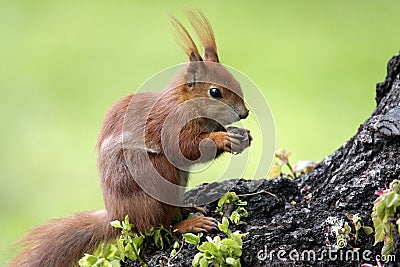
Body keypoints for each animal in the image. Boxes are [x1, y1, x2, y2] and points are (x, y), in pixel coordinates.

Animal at [10, 9, 252, 266]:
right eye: (215, 92)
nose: (244, 113)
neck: (185, 104)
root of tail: (117, 217)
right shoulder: (170, 126)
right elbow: (187, 148)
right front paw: (223, 139)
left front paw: (242, 135)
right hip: (156, 178)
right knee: (161, 225)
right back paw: (190, 223)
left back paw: (187, 207)